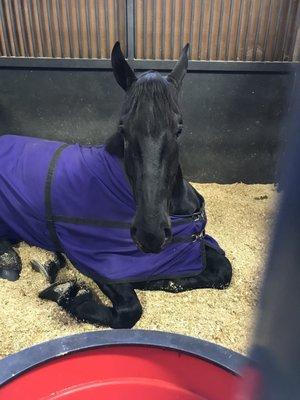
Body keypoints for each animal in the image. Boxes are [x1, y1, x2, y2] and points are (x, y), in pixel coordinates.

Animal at [0, 42, 232, 328]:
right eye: (123, 129)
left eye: (178, 128)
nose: (150, 234)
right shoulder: (99, 261)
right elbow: (129, 310)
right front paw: (68, 293)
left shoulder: (192, 245)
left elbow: (223, 268)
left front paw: (165, 280)